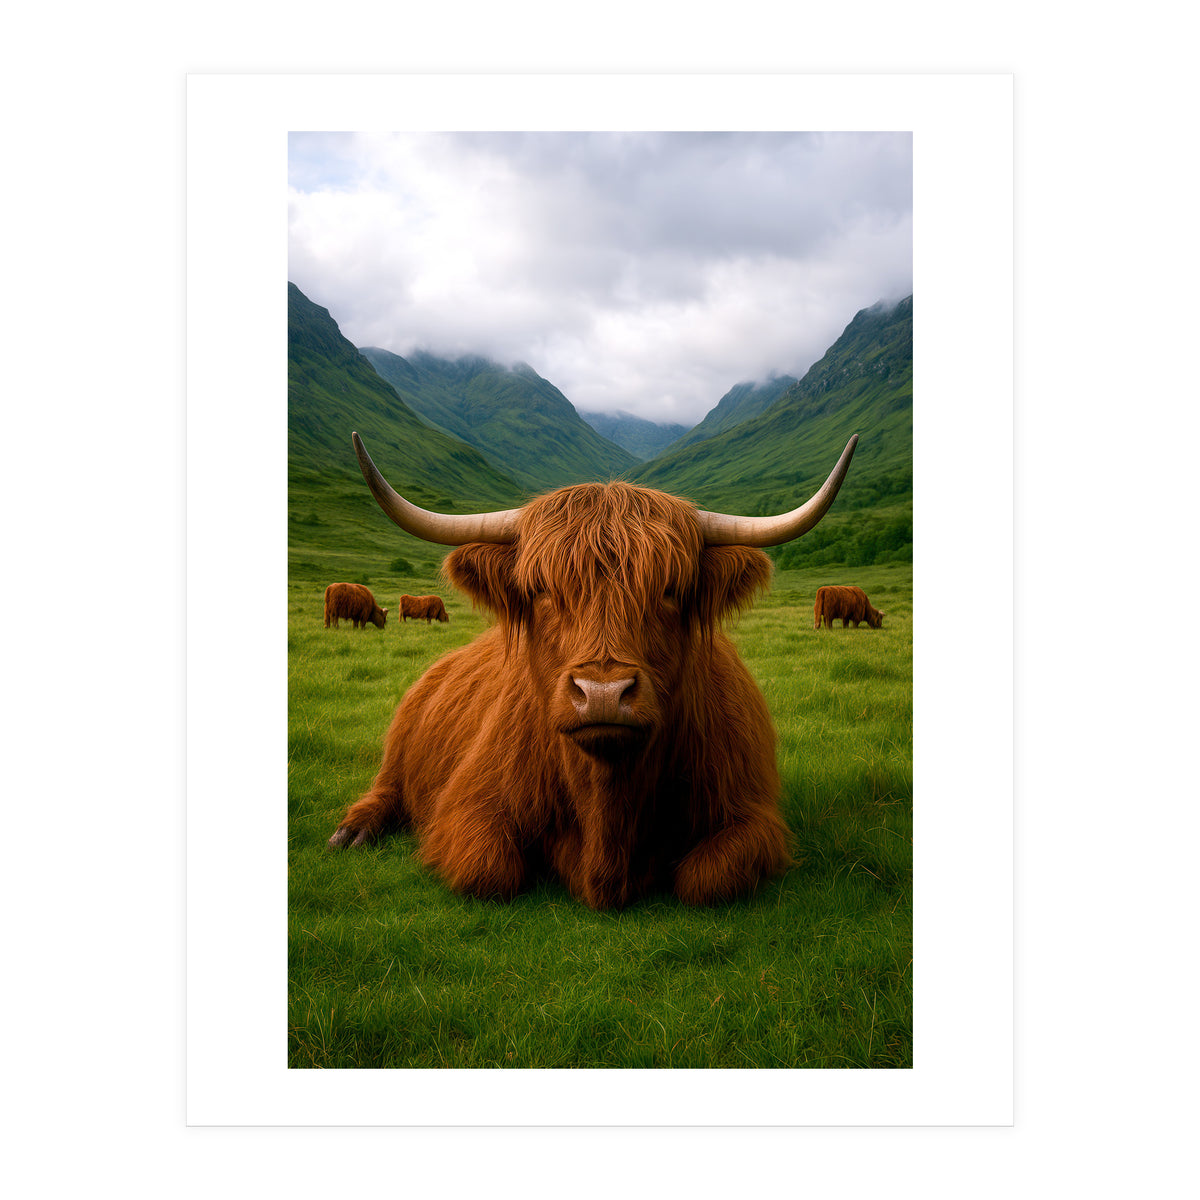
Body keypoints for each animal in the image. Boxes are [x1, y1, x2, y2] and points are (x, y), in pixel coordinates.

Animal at [328, 431, 858, 910]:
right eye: (541, 589)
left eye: (670, 590)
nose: (602, 693)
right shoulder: (467, 804)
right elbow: (489, 870)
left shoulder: (751, 816)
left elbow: (706, 880)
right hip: (400, 745)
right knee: (387, 787)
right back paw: (352, 832)